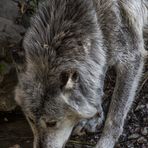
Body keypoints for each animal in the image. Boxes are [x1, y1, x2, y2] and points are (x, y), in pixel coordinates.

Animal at [11, 0, 148, 148]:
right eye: (30, 119)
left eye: (51, 123)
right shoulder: (99, 55)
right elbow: (96, 86)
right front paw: (95, 117)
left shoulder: (131, 58)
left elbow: (114, 118)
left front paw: (104, 142)